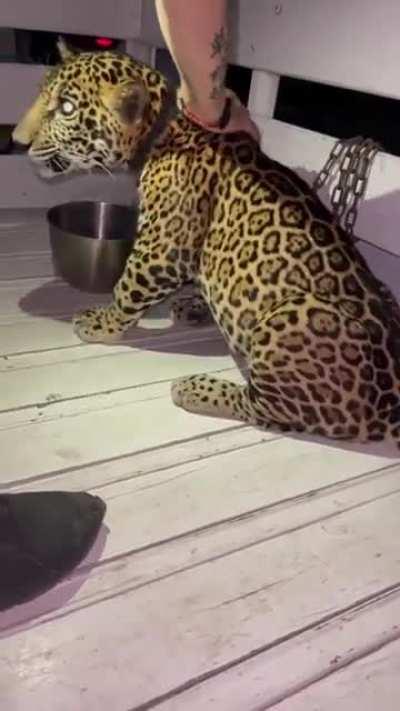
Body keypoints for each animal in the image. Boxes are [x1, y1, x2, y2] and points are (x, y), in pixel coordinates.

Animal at [13, 40, 400, 446]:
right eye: (41, 94)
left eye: (66, 108)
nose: (17, 141)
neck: (161, 131)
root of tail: (391, 407)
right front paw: (195, 302)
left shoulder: (162, 247)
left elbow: (127, 287)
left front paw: (103, 323)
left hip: (292, 318)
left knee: (275, 411)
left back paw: (197, 388)